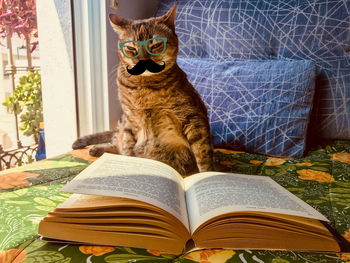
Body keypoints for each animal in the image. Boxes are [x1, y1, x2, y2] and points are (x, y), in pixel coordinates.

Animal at [72, 4, 213, 176]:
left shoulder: (193, 117)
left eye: (156, 45)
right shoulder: (130, 121)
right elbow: (128, 150)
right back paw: (97, 149)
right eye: (131, 48)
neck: (144, 88)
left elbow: (202, 153)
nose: (143, 60)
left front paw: (207, 175)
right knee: (117, 142)